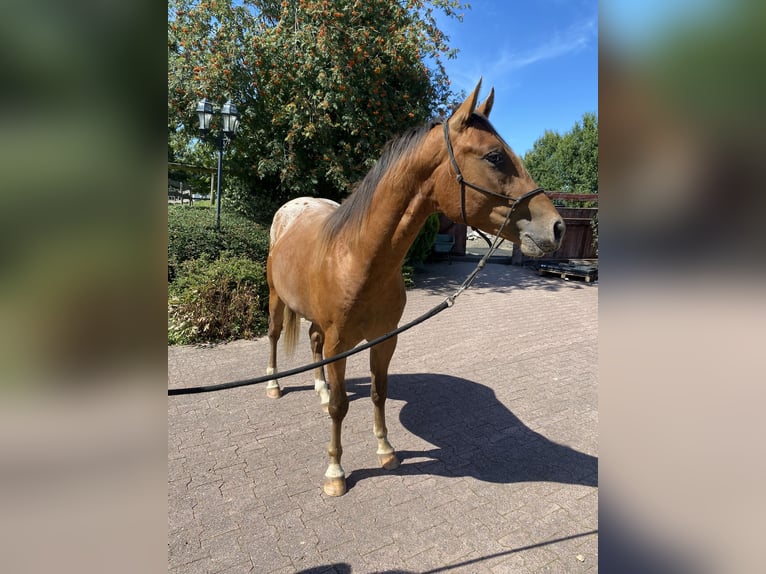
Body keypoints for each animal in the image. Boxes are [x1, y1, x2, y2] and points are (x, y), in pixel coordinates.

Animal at [268, 79, 568, 498]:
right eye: (495, 157)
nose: (557, 227)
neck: (357, 257)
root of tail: (292, 209)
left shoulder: (385, 338)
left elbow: (378, 392)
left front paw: (385, 450)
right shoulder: (339, 343)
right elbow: (342, 407)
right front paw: (335, 472)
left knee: (313, 342)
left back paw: (321, 388)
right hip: (276, 300)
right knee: (275, 335)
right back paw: (275, 385)